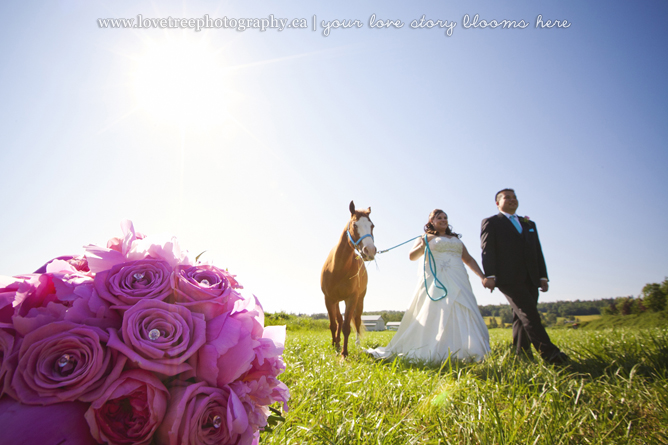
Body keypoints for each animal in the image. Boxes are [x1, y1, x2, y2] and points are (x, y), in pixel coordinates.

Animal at [322, 201, 378, 358]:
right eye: (354, 225)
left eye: (372, 226)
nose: (370, 251)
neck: (337, 268)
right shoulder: (329, 299)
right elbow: (334, 324)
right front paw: (334, 345)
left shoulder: (351, 298)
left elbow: (347, 326)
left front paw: (344, 353)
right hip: (336, 301)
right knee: (338, 321)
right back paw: (337, 342)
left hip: (360, 300)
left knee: (357, 321)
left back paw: (357, 345)